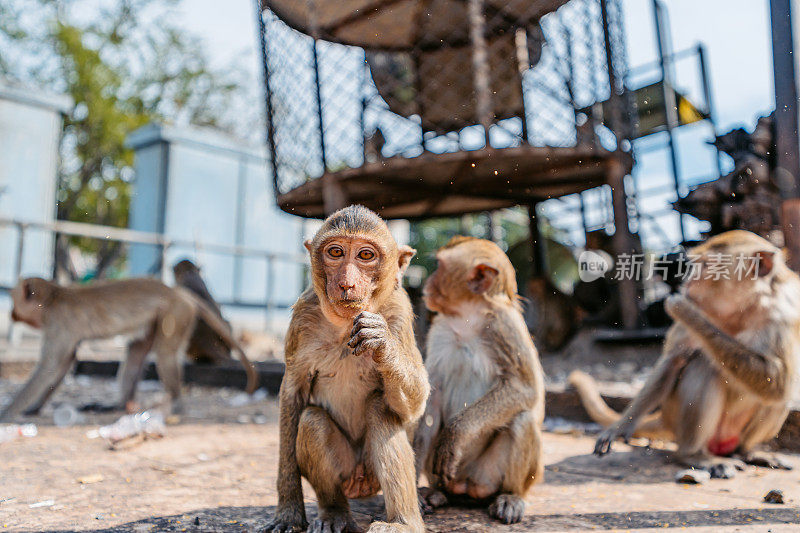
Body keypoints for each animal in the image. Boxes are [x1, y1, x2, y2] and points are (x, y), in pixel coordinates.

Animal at [1, 274, 258, 420]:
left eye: (14, 300)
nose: (11, 312)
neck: (53, 297)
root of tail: (176, 292)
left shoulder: (58, 323)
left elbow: (50, 366)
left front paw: (8, 412)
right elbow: (64, 363)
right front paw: (34, 409)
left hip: (177, 314)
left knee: (165, 355)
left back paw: (175, 403)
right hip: (157, 320)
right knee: (136, 351)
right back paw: (117, 405)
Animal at [264, 205, 428, 532]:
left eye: (365, 255)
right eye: (336, 252)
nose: (347, 284)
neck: (343, 328)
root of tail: (360, 483)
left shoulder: (399, 312)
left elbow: (415, 405)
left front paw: (383, 344)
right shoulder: (303, 317)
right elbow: (293, 395)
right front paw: (288, 510)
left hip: (370, 470)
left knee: (380, 408)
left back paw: (403, 523)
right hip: (348, 469)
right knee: (311, 421)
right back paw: (335, 513)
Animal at [412, 236, 544, 524]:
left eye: (439, 266)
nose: (428, 281)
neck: (467, 318)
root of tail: (464, 485)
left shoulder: (505, 326)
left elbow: (524, 389)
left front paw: (456, 433)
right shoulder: (439, 329)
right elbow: (430, 398)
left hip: (489, 475)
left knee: (523, 419)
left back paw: (510, 497)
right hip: (442, 475)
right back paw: (437, 494)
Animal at [572, 230, 796, 478]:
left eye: (706, 266)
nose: (687, 282)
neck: (741, 310)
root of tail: (664, 418)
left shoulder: (783, 312)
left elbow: (778, 381)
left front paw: (686, 311)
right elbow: (673, 362)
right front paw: (622, 424)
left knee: (781, 393)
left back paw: (746, 452)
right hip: (677, 416)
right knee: (702, 367)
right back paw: (694, 455)